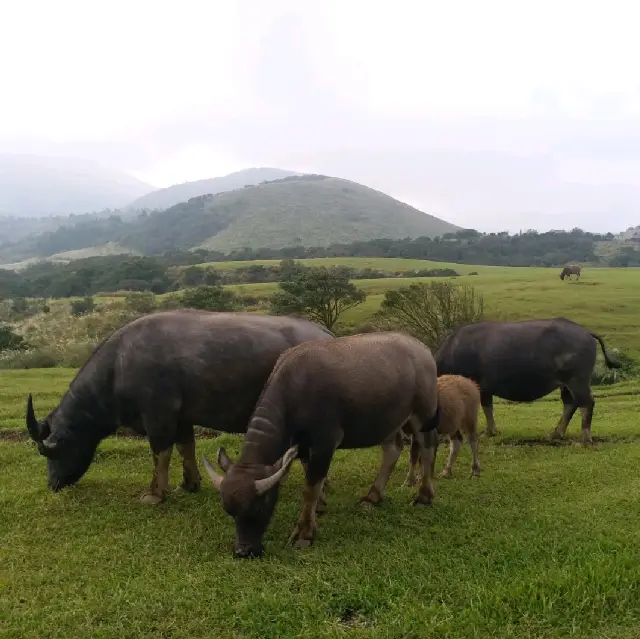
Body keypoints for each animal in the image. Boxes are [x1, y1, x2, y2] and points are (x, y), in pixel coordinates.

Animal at [23, 310, 336, 504]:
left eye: (49, 451)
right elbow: (187, 447)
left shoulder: (158, 416)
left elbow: (160, 452)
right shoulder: (183, 417)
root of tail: (323, 333)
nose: (53, 484)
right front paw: (189, 484)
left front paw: (155, 494)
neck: (119, 366)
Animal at [204, 332, 440, 556]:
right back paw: (373, 496)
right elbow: (312, 479)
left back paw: (424, 496)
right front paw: (320, 506)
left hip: (423, 415)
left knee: (428, 448)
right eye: (230, 512)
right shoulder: (304, 449)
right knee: (392, 450)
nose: (243, 551)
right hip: (387, 421)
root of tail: (422, 349)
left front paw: (304, 532)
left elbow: (311, 487)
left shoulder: (324, 444)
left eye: (259, 507)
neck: (294, 393)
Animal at [436, 316, 620, 444]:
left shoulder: (478, 386)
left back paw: (584, 439)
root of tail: (586, 332)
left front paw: (486, 432)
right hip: (566, 384)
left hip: (577, 380)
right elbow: (488, 407)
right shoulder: (485, 389)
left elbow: (483, 408)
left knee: (586, 403)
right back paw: (556, 433)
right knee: (570, 404)